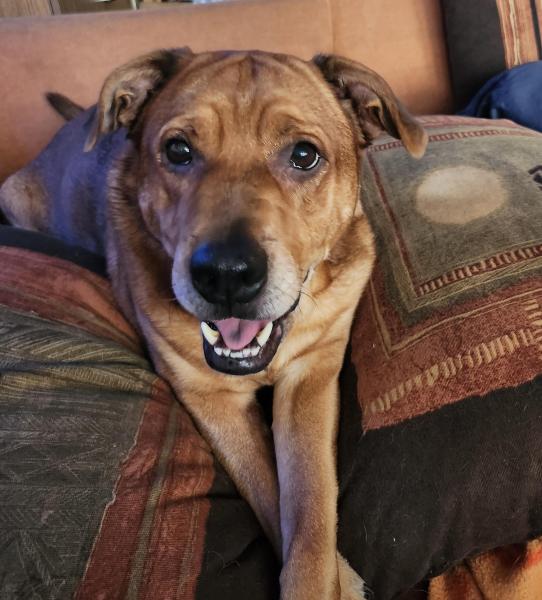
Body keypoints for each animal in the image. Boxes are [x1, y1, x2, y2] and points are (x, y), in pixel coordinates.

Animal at [0, 48, 427, 599]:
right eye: (178, 150)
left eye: (304, 155)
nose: (225, 275)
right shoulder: (212, 401)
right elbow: (269, 491)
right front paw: (342, 575)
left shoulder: (311, 377)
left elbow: (310, 508)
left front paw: (324, 573)